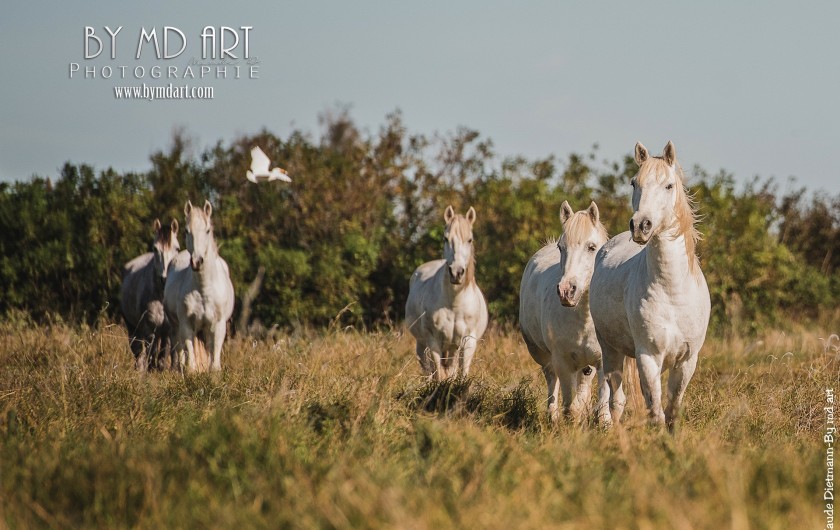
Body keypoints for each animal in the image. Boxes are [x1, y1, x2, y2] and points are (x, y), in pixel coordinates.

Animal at [120, 218, 180, 371]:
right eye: (155, 249)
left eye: (177, 249)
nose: (165, 278)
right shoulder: (149, 330)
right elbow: (151, 356)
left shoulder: (169, 330)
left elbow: (167, 355)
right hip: (133, 328)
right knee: (138, 353)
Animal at [164, 200, 235, 373]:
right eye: (186, 230)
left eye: (208, 230)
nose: (197, 261)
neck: (204, 290)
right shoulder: (186, 325)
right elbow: (190, 362)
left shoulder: (218, 326)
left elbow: (214, 363)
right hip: (176, 326)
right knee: (179, 350)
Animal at [405, 205, 488, 381]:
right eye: (445, 238)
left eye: (470, 240)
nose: (456, 273)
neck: (454, 303)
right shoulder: (433, 341)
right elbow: (438, 373)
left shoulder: (467, 342)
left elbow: (462, 373)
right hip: (422, 343)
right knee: (427, 367)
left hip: (452, 347)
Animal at [519, 201, 610, 423]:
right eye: (561, 247)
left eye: (591, 247)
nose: (566, 291)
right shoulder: (563, 362)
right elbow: (570, 406)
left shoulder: (604, 360)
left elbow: (602, 403)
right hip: (543, 356)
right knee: (552, 380)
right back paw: (552, 417)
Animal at [590, 141, 711, 430]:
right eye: (634, 182)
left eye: (669, 185)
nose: (640, 226)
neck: (674, 292)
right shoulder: (648, 357)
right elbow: (655, 411)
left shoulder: (687, 360)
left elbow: (672, 409)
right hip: (610, 349)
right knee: (615, 394)